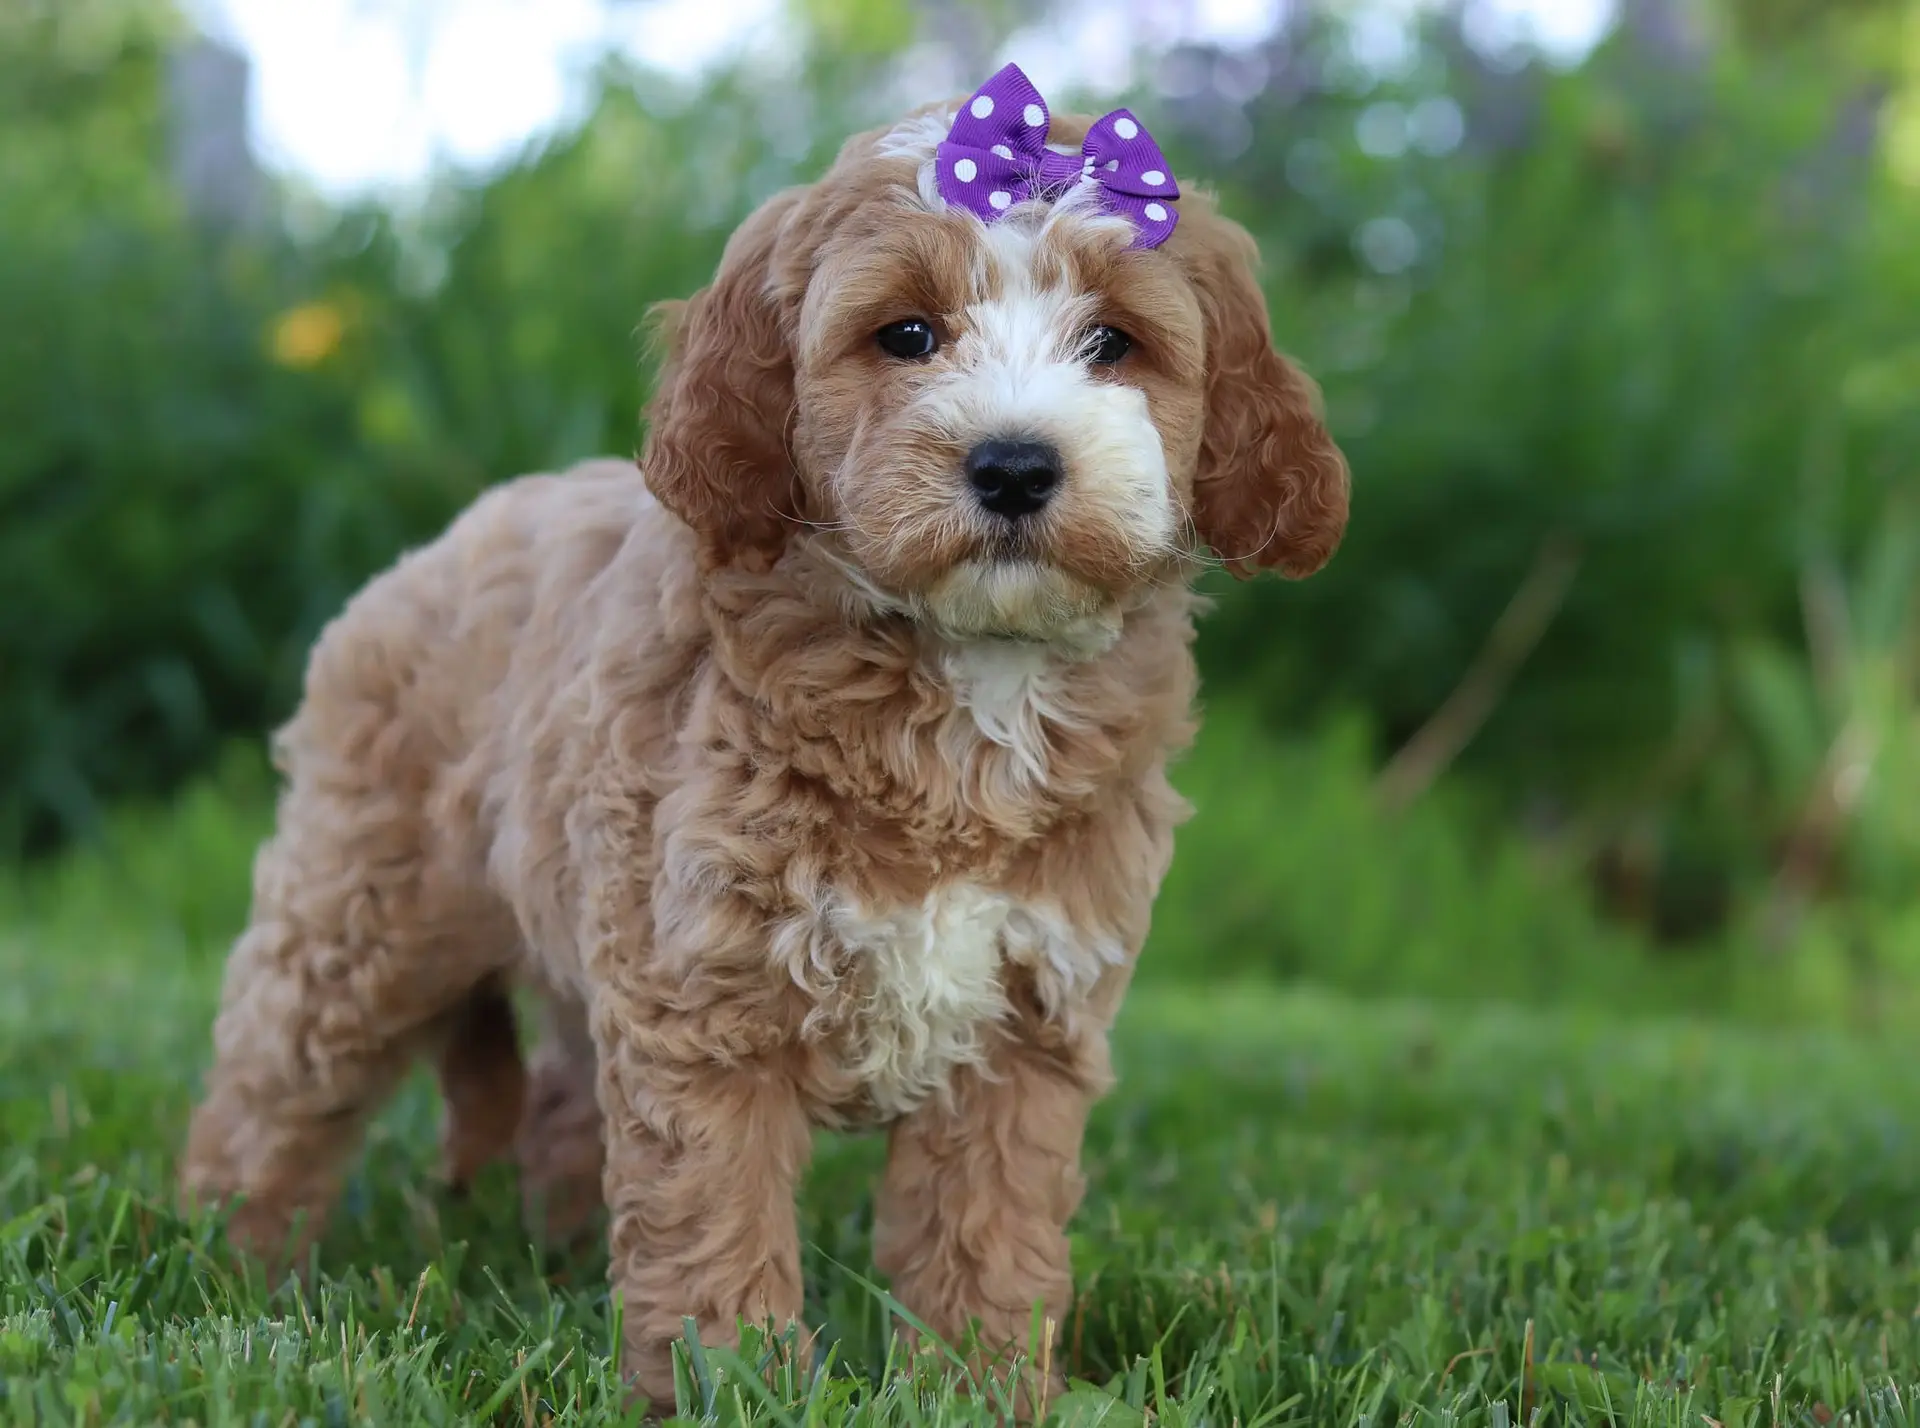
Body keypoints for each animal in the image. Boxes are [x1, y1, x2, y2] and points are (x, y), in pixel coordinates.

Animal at [178, 65, 1348, 1409]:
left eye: (1113, 343)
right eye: (908, 335)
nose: (1013, 466)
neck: (967, 674)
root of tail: (450, 534)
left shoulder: (1024, 1027)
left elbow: (988, 1237)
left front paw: (983, 1388)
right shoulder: (704, 1001)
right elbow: (711, 1224)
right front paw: (730, 1387)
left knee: (560, 1104)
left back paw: (550, 1259)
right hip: (366, 902)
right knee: (280, 1073)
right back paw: (231, 1266)